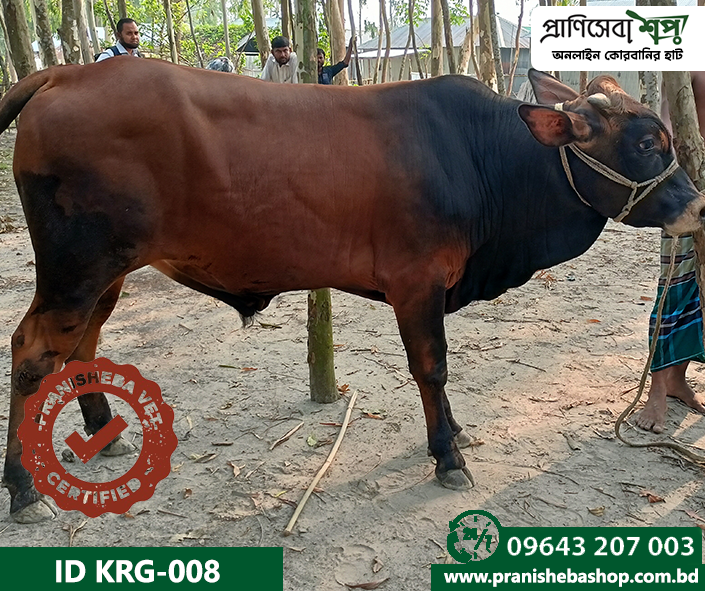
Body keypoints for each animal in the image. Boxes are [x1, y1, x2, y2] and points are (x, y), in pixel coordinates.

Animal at [1, 59, 704, 523]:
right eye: (648, 142)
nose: (697, 206)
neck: (479, 157)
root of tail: (64, 75)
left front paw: (455, 434)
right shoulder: (416, 282)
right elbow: (432, 369)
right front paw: (447, 457)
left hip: (106, 273)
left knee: (82, 344)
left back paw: (103, 429)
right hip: (75, 268)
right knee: (32, 352)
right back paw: (24, 489)